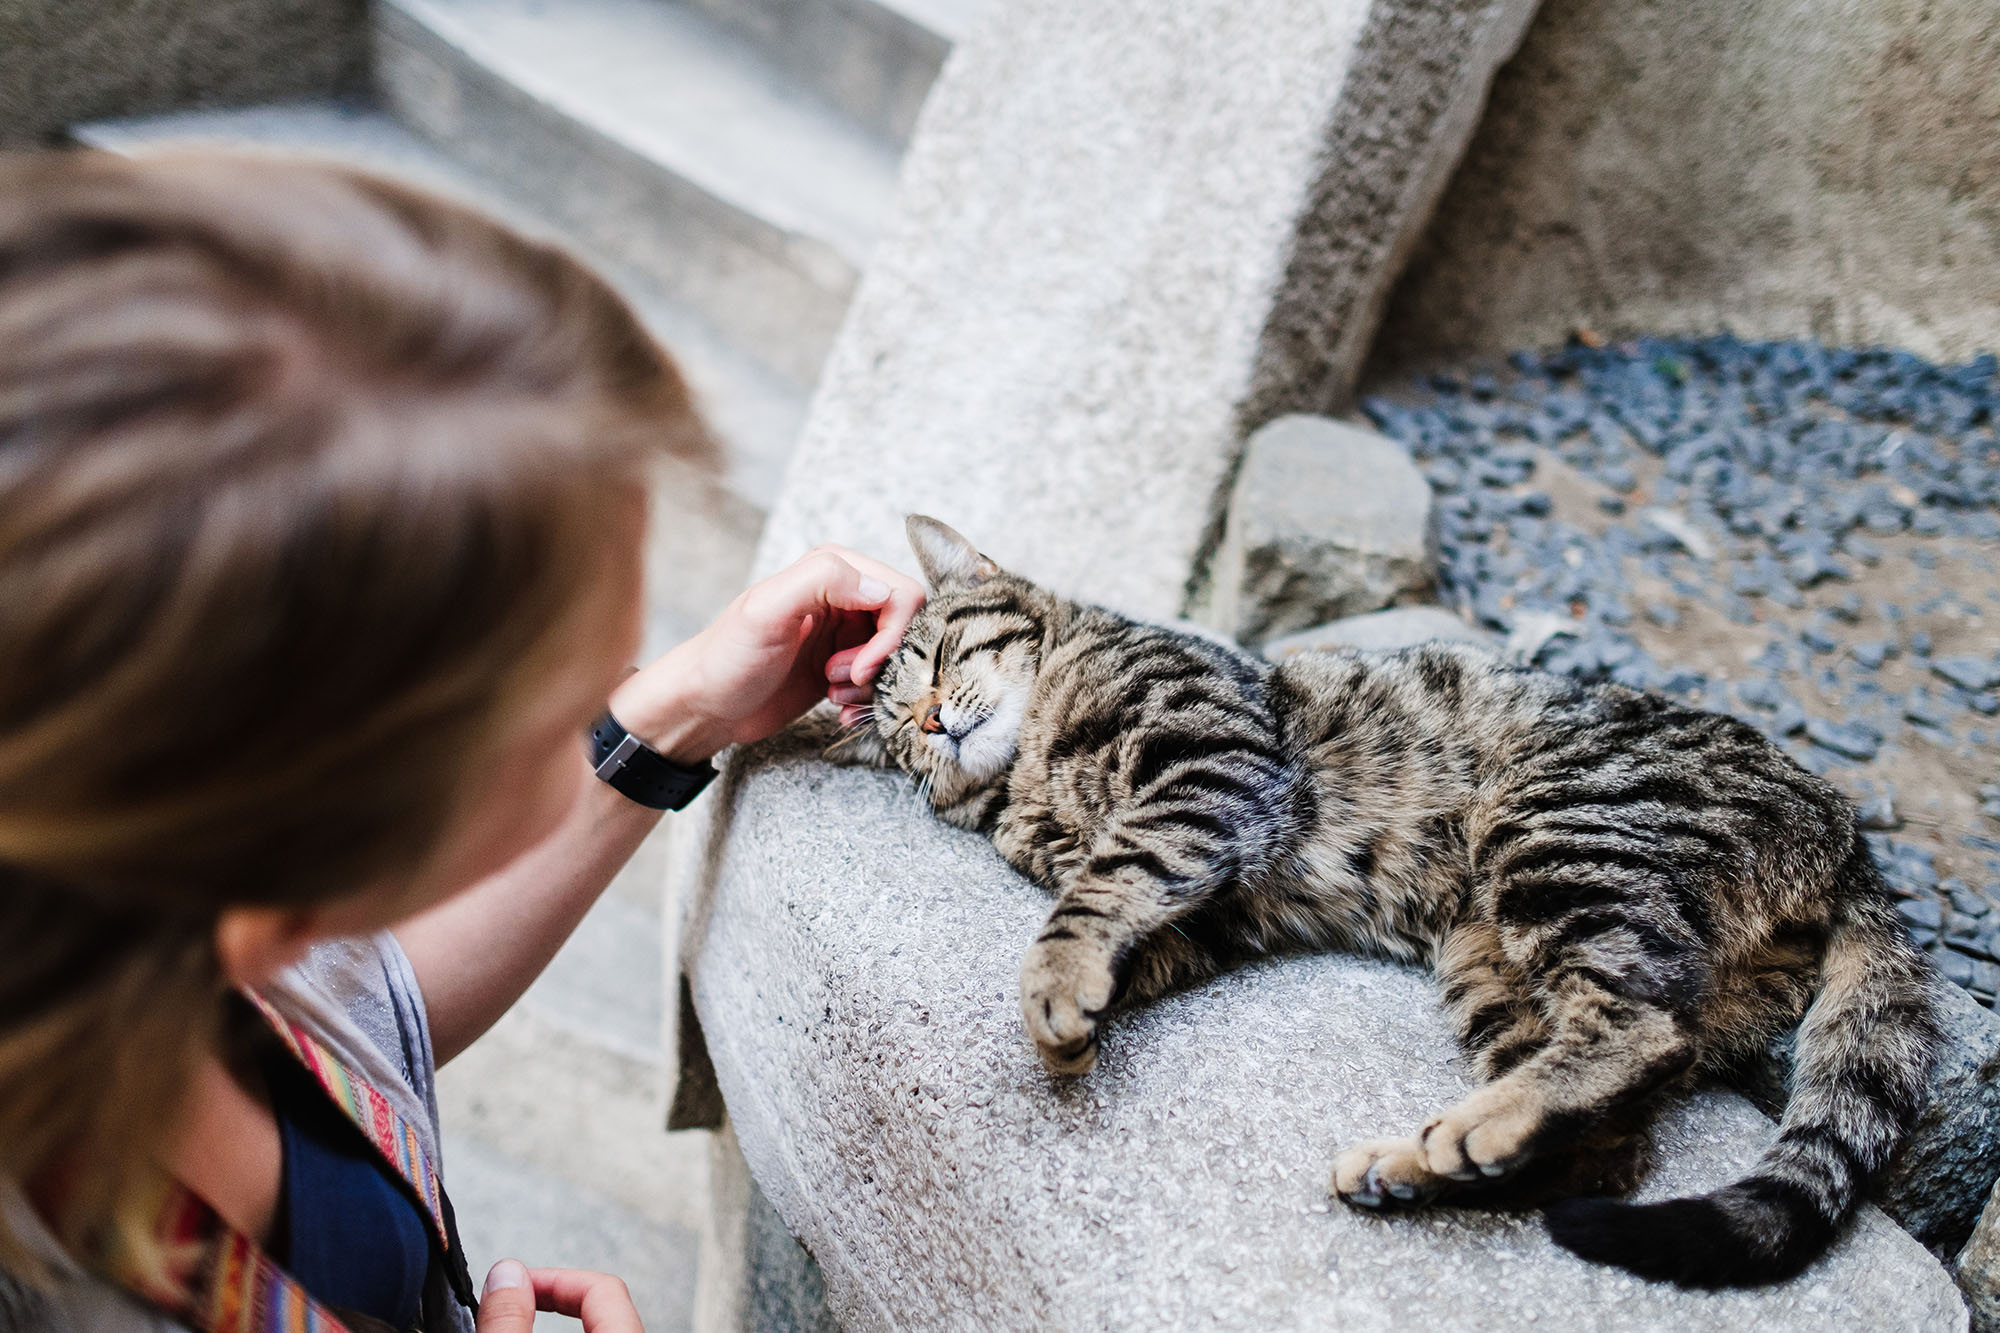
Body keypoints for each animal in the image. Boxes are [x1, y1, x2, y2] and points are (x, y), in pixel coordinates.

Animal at [828, 512, 1936, 1280]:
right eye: (897, 731)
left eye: (938, 656)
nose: (931, 725)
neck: (1032, 773)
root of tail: (1847, 837)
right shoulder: (1217, 898)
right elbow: (1133, 921)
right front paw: (1079, 1014)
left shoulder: (1207, 761)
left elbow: (1101, 890)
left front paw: (1054, 982)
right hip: (1491, 957)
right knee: (1611, 1144)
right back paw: (1419, 1160)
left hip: (1553, 835)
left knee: (1636, 1033)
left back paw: (1454, 1139)